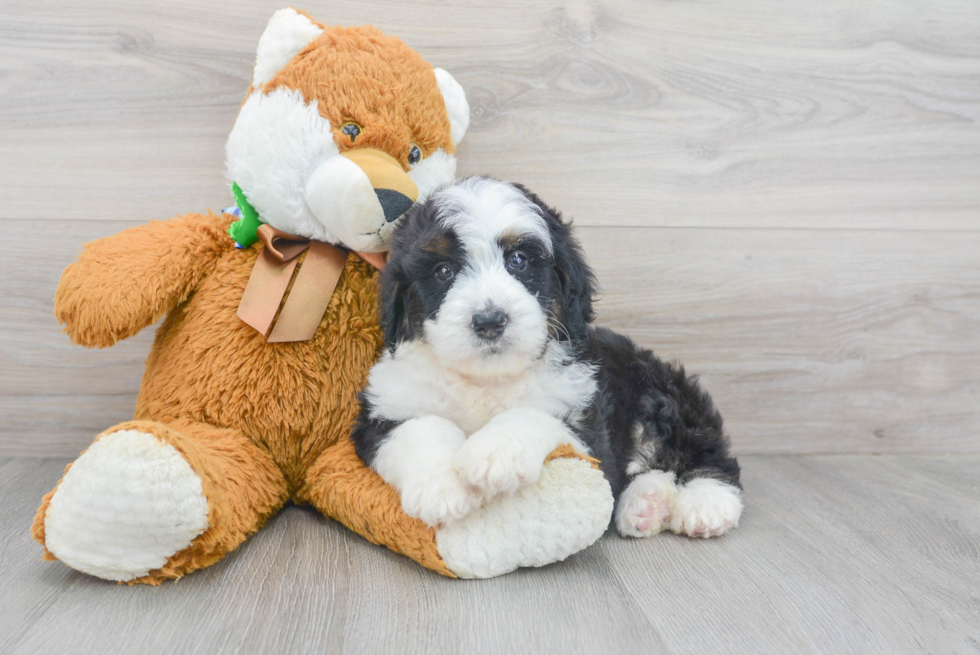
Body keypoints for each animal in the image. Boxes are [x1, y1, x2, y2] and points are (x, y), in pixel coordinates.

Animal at [352, 177, 744, 540]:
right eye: (443, 271)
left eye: (518, 260)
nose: (490, 321)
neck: (485, 379)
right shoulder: (384, 412)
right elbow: (421, 428)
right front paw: (442, 486)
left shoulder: (587, 426)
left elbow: (533, 413)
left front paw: (495, 453)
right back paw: (647, 503)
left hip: (659, 394)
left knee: (706, 452)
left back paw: (706, 504)